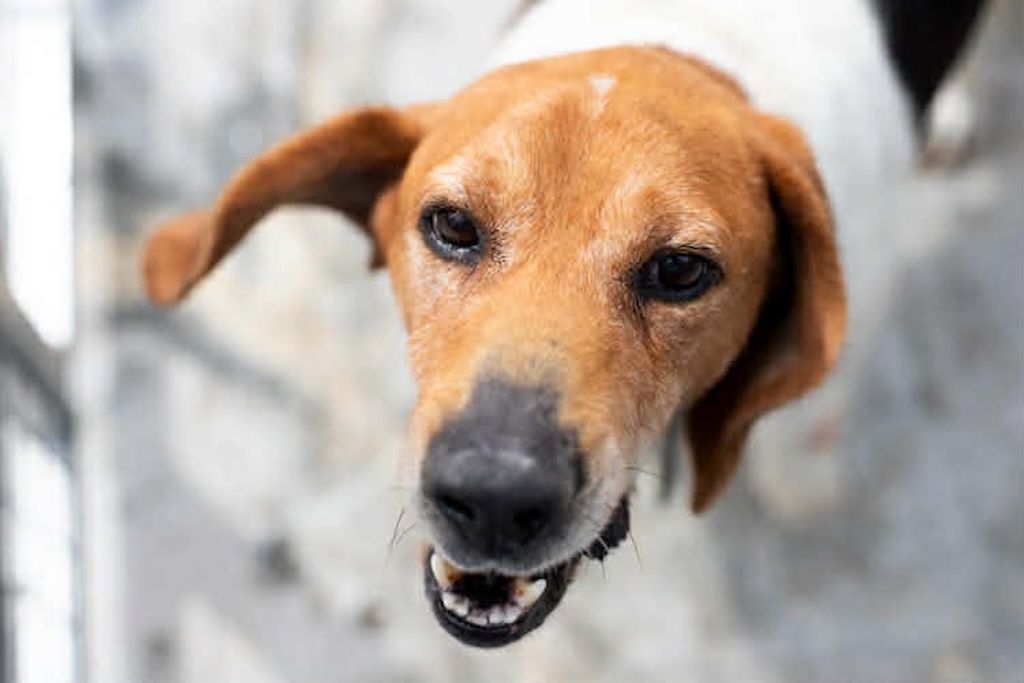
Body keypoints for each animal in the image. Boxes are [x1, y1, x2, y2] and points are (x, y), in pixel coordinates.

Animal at [141, 0, 983, 648]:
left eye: (681, 270)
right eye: (451, 224)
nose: (494, 494)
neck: (682, 33)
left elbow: (807, 437)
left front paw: (804, 484)